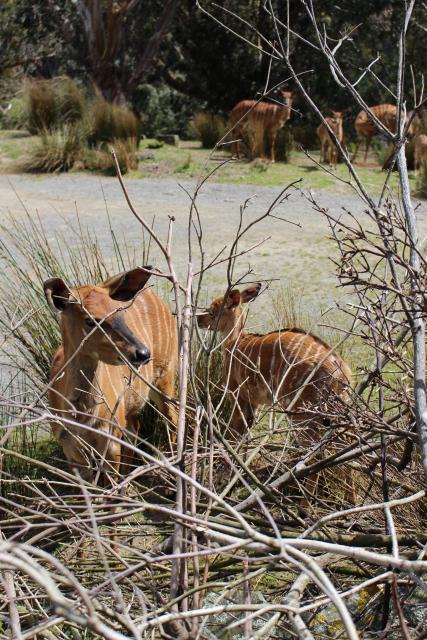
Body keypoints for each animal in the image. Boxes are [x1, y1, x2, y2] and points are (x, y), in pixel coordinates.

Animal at [43, 268, 177, 482]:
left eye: (119, 312)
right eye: (90, 320)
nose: (142, 353)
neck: (83, 418)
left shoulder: (110, 438)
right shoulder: (68, 445)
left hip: (166, 376)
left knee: (172, 419)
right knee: (136, 428)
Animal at [197, 284, 352, 436]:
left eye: (212, 311)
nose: (198, 319)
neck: (234, 342)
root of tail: (341, 373)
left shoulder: (236, 393)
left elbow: (237, 431)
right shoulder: (253, 401)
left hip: (301, 409)